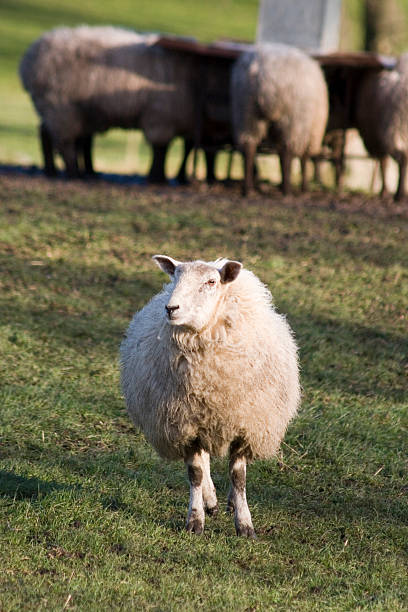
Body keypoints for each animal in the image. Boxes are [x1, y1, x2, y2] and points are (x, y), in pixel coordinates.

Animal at [19, 26, 195, 182]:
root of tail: (29, 59)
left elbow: (185, 148)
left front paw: (178, 177)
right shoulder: (161, 117)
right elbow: (161, 149)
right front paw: (158, 178)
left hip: (68, 112)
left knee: (49, 134)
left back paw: (55, 171)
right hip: (61, 108)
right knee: (65, 142)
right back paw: (74, 173)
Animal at [119, 253, 302, 536]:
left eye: (211, 281)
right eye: (175, 277)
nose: (171, 308)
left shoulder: (245, 426)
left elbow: (238, 477)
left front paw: (244, 524)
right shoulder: (185, 424)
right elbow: (195, 473)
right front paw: (195, 520)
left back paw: (228, 502)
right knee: (203, 462)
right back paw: (210, 500)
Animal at [230, 42, 328, 195]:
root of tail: (262, 71)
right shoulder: (309, 130)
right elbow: (303, 160)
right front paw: (304, 188)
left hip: (245, 111)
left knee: (249, 147)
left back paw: (249, 189)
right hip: (292, 117)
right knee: (287, 151)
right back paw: (286, 190)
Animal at [354, 53, 408, 201]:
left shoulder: (377, 136)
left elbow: (383, 162)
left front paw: (384, 191)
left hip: (394, 127)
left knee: (401, 158)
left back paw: (399, 194)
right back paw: (400, 194)